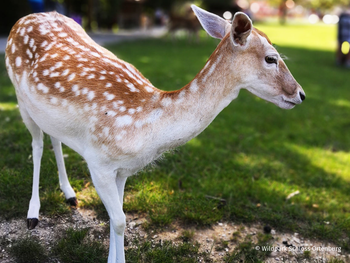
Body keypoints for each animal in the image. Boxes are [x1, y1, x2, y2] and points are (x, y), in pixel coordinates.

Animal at [4, 4, 304, 263]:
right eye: (271, 58)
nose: (300, 94)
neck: (146, 128)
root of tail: (26, 17)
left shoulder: (122, 170)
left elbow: (117, 219)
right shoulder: (98, 162)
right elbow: (120, 220)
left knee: (54, 138)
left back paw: (69, 194)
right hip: (20, 98)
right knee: (37, 144)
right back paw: (33, 214)